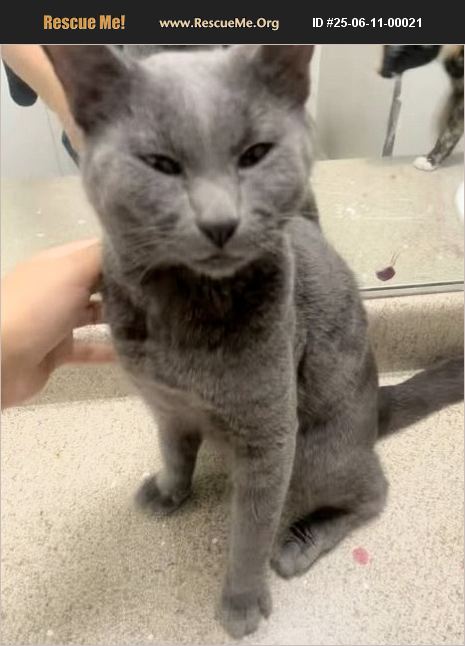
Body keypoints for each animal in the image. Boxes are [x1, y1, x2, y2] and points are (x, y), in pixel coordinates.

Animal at [44, 45, 463, 638]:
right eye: (161, 164)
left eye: (255, 154)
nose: (220, 220)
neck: (183, 313)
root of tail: (375, 407)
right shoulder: (165, 405)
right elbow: (175, 452)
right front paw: (169, 492)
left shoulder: (270, 437)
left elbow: (249, 531)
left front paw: (240, 603)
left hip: (311, 450)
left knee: (374, 490)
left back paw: (299, 542)